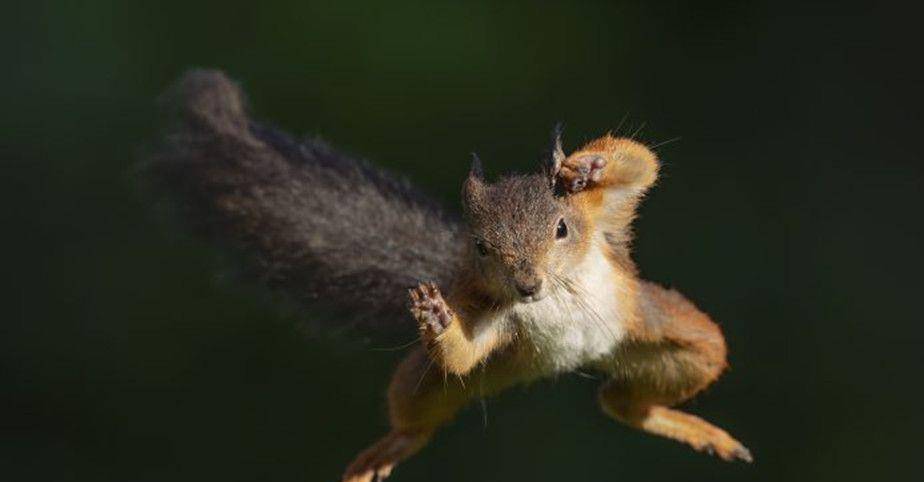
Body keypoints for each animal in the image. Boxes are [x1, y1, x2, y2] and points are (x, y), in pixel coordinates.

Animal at [144, 68, 752, 482]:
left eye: (561, 228)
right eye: (481, 247)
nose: (527, 286)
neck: (552, 292)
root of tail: (584, 359)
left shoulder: (603, 219)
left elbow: (640, 162)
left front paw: (584, 164)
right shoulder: (491, 315)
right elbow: (463, 350)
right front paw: (435, 317)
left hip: (669, 335)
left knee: (635, 398)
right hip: (455, 377)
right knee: (434, 407)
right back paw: (392, 446)